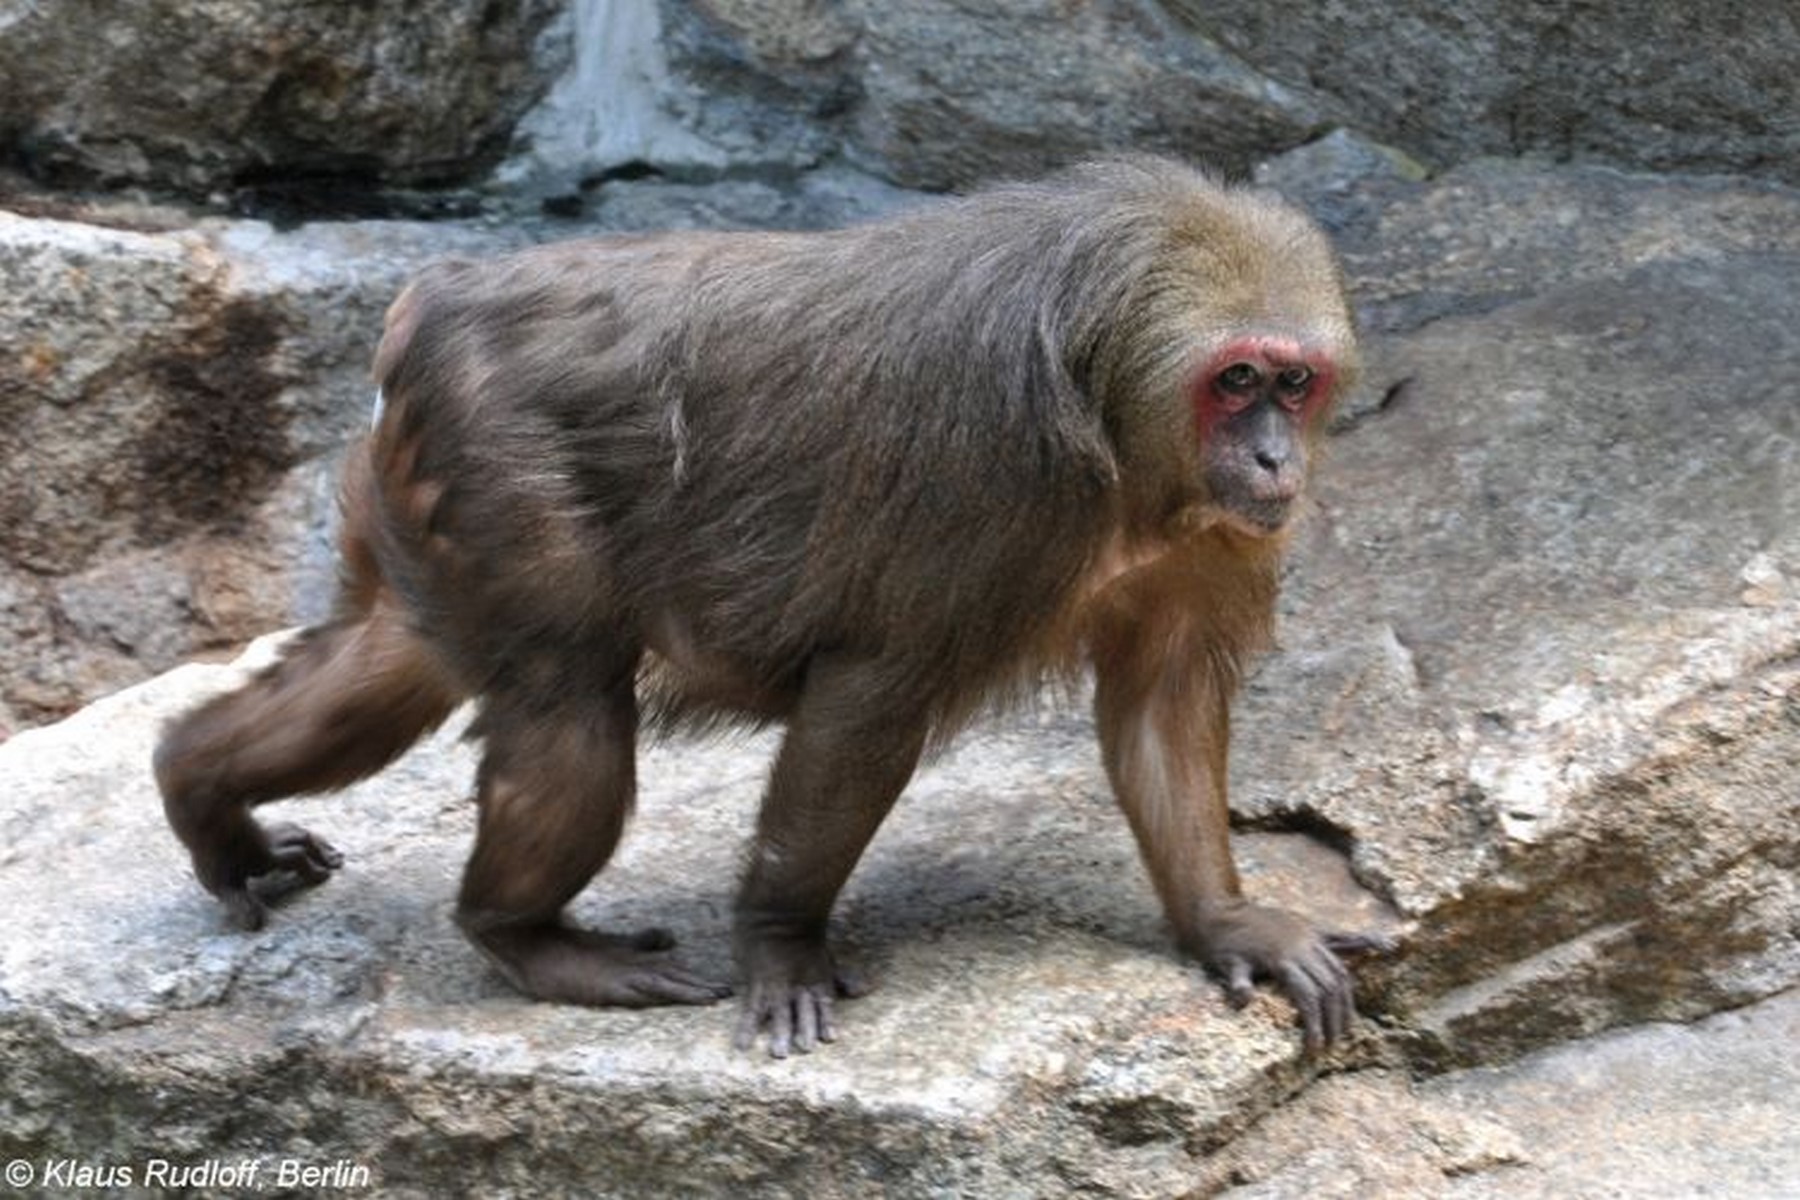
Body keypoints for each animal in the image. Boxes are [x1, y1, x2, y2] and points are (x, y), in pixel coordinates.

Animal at [154, 152, 1389, 1057]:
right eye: (1235, 381)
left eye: (1294, 383)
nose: (1276, 459)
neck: (1114, 416)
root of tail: (435, 297)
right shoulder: (989, 482)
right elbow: (868, 701)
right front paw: (781, 942)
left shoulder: (1208, 530)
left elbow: (1161, 706)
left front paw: (1224, 920)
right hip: (496, 459)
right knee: (569, 712)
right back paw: (519, 936)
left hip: (424, 497)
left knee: (395, 659)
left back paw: (199, 788)